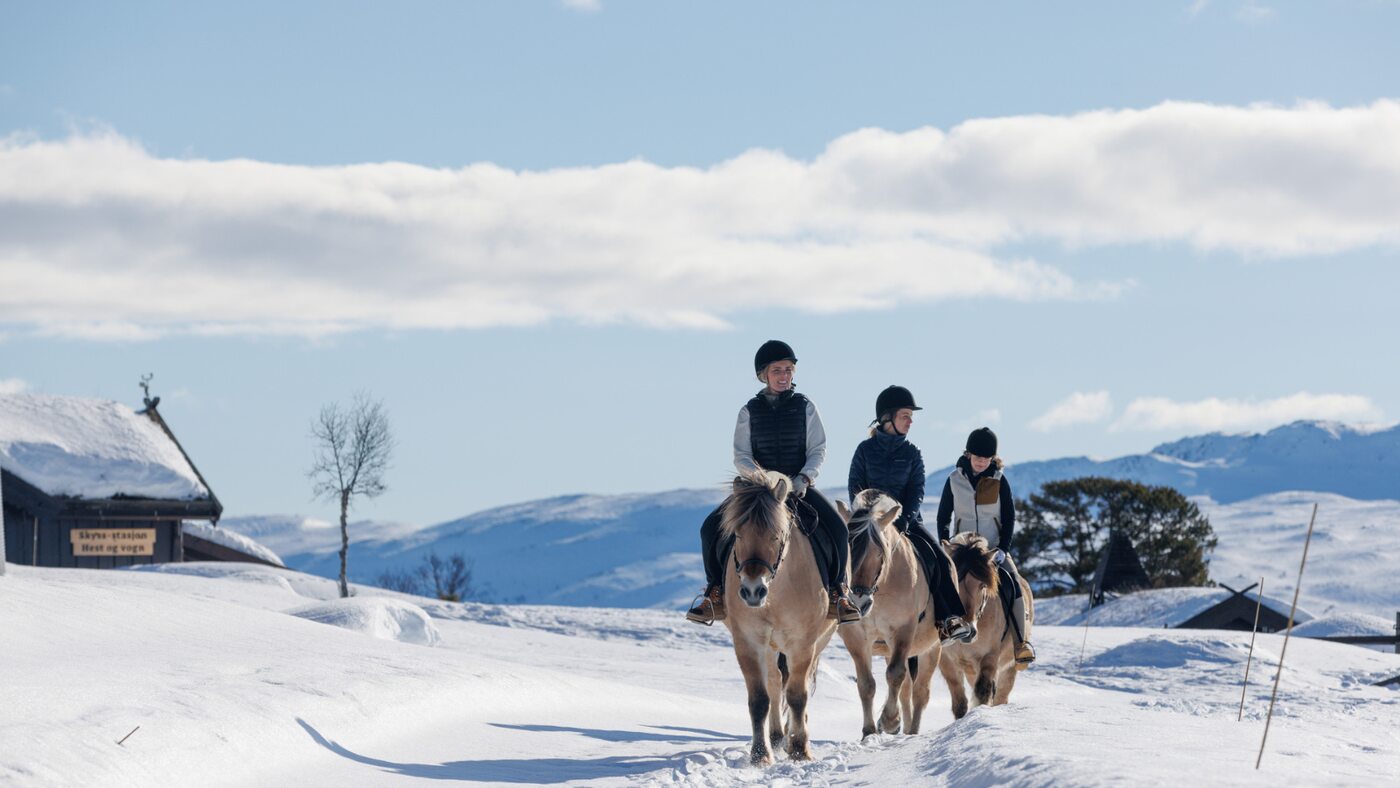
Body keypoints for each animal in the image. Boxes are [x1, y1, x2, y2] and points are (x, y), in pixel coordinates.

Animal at [720, 470, 839, 766]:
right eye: (737, 534)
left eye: (776, 535)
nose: (753, 591)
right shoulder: (748, 642)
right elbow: (759, 699)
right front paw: (760, 754)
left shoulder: (802, 642)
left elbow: (797, 695)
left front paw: (799, 749)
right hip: (770, 646)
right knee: (775, 681)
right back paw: (776, 736)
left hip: (819, 641)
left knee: (799, 683)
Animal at [836, 490, 947, 737]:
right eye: (847, 552)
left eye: (880, 552)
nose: (858, 602)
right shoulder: (855, 636)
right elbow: (866, 684)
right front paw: (869, 731)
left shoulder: (903, 630)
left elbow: (895, 674)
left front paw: (889, 721)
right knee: (906, 691)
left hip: (931, 648)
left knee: (920, 692)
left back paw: (911, 730)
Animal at [938, 532, 1033, 718]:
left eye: (982, 586)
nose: (968, 631)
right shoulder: (947, 661)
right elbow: (959, 703)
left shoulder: (989, 656)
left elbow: (982, 693)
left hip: (1009, 665)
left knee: (1001, 695)